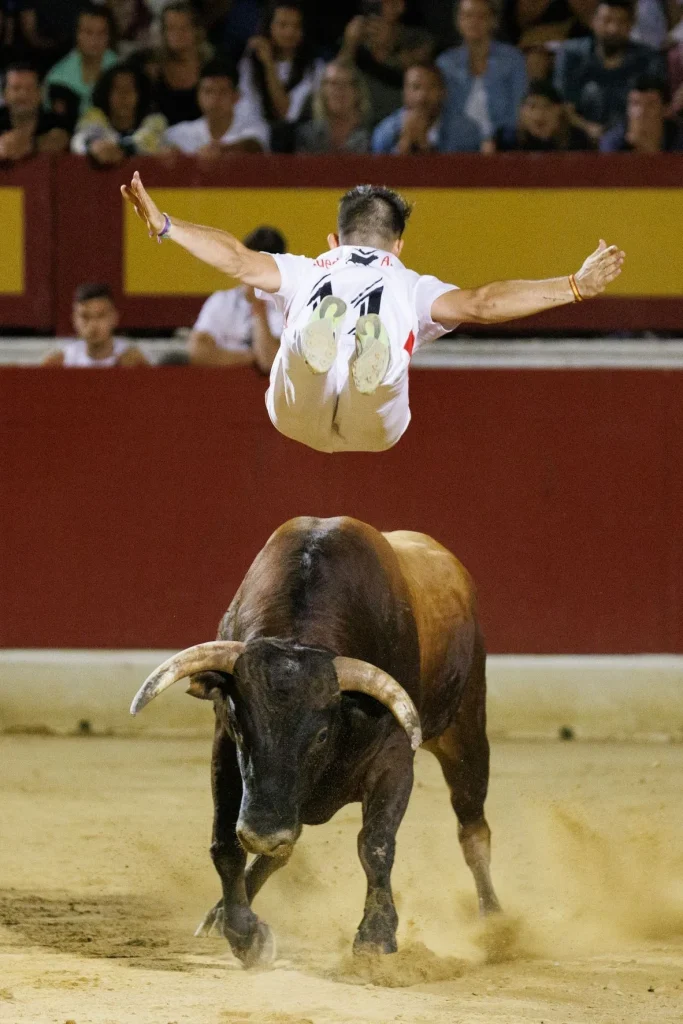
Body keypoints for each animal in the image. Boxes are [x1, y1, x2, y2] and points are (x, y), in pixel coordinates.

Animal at [129, 516, 501, 962]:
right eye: (239, 722)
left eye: (322, 733)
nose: (263, 832)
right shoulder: (225, 750)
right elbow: (226, 844)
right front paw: (243, 932)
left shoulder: (394, 756)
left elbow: (375, 842)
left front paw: (376, 936)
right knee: (281, 849)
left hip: (465, 731)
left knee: (473, 828)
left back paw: (495, 921)